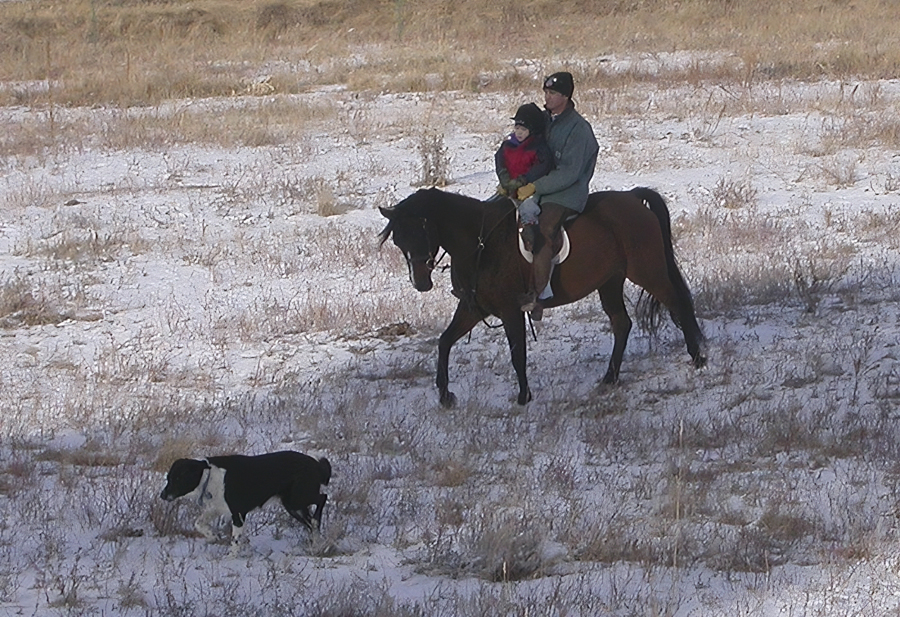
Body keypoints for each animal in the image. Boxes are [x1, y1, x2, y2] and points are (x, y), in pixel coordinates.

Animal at [161, 448, 330, 544]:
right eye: (168, 477)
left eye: (178, 478)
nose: (162, 495)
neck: (209, 476)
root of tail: (316, 465)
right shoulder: (217, 508)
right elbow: (199, 523)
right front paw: (212, 537)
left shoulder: (238, 513)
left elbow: (235, 541)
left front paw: (230, 559)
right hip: (293, 505)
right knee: (309, 521)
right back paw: (316, 541)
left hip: (297, 499)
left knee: (323, 498)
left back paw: (316, 524)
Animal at [376, 184, 708, 404]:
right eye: (397, 240)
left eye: (421, 231)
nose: (420, 282)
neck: (481, 242)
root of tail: (632, 197)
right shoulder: (474, 308)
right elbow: (444, 342)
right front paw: (445, 395)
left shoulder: (510, 310)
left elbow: (517, 353)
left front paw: (524, 396)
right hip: (610, 281)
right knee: (621, 323)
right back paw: (609, 378)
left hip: (647, 272)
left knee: (676, 303)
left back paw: (697, 358)